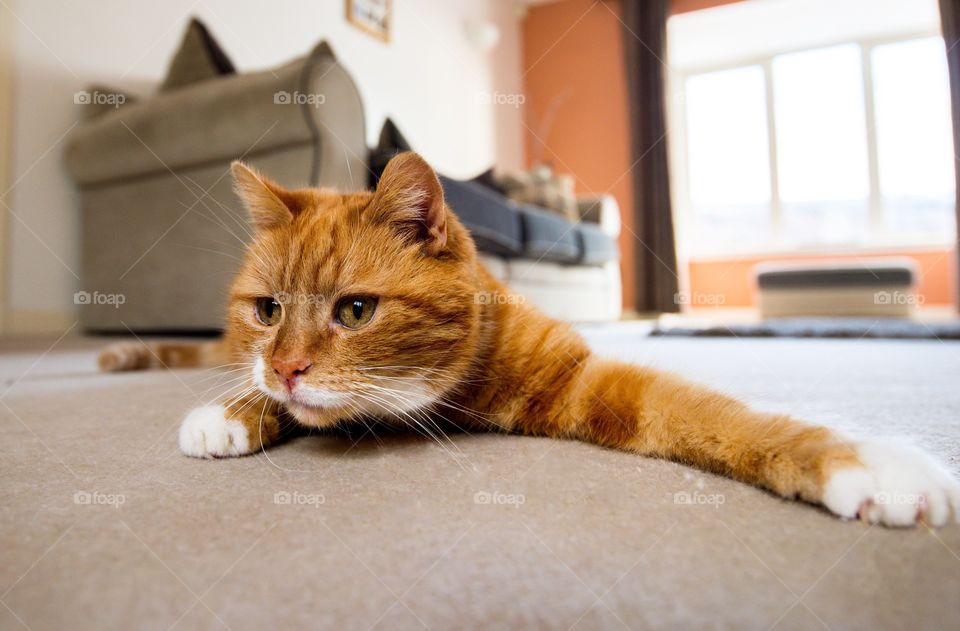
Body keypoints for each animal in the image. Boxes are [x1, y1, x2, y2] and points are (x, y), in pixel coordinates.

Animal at [99, 152, 960, 528]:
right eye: (270, 309)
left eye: (355, 310)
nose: (285, 367)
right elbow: (262, 387)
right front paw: (238, 410)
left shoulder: (584, 380)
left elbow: (718, 415)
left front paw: (862, 461)